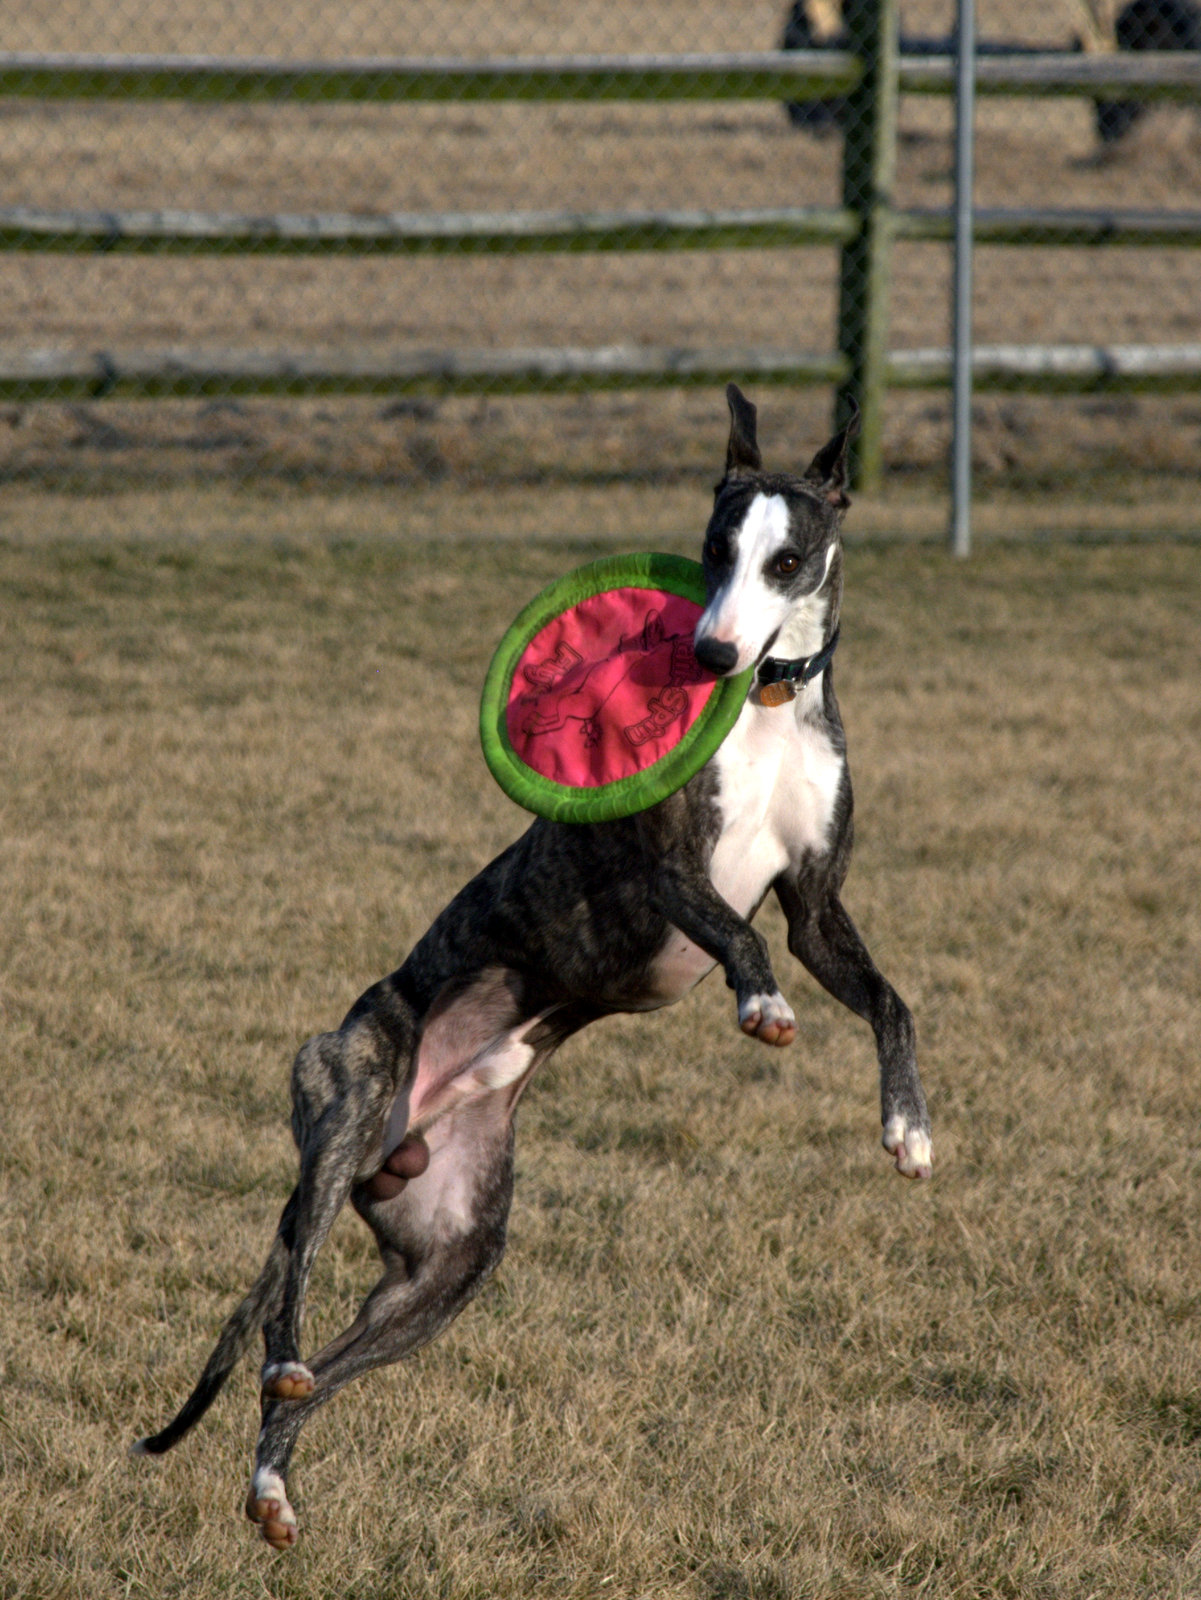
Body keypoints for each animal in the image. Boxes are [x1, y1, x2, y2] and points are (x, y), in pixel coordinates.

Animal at [133, 385, 932, 1550]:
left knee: (317, 1376)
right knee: (290, 1296)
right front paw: (763, 1006)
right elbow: (737, 939)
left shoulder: (819, 912)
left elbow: (889, 1003)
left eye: (786, 561)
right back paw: (278, 1383)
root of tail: (404, 1131)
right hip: (343, 1102)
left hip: (446, 1270)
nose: (708, 656)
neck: (769, 713)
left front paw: (909, 1130)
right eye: (713, 548)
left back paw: (271, 1487)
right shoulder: (661, 876)